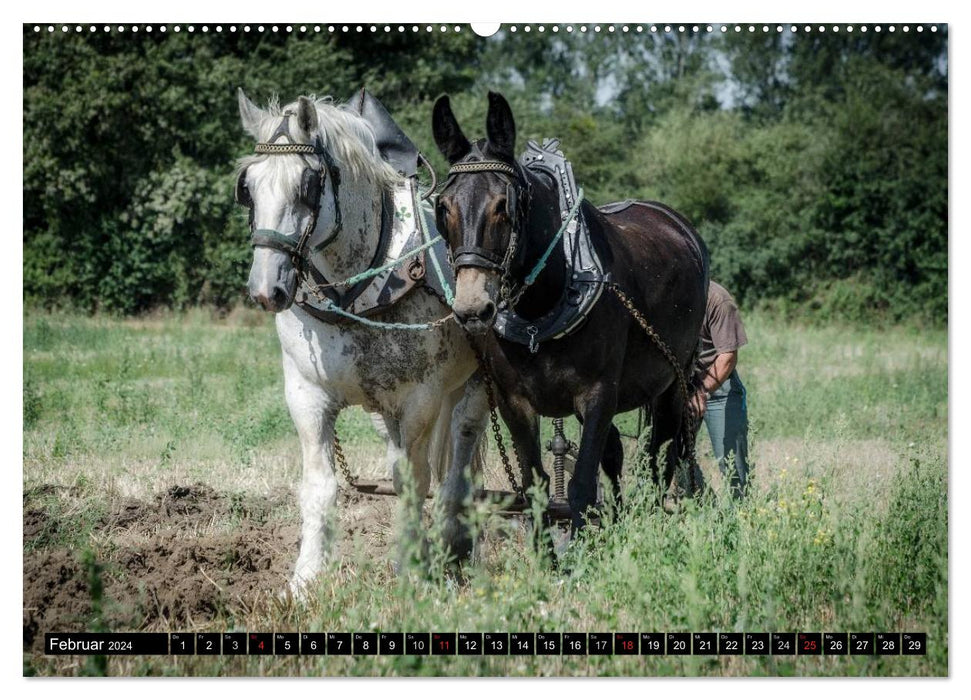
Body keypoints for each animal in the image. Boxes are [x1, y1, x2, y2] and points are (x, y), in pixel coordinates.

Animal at [234, 89, 490, 592]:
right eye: (248, 187)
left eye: (308, 184)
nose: (266, 288)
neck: (356, 290)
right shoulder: (307, 395)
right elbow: (320, 487)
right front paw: (305, 579)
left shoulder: (418, 400)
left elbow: (413, 482)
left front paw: (411, 571)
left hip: (472, 389)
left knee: (456, 463)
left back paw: (451, 545)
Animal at [436, 91, 712, 532]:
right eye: (443, 207)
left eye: (503, 206)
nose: (473, 307)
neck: (541, 306)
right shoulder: (515, 404)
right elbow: (535, 487)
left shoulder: (598, 395)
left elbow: (581, 485)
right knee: (617, 455)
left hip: (675, 378)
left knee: (663, 451)